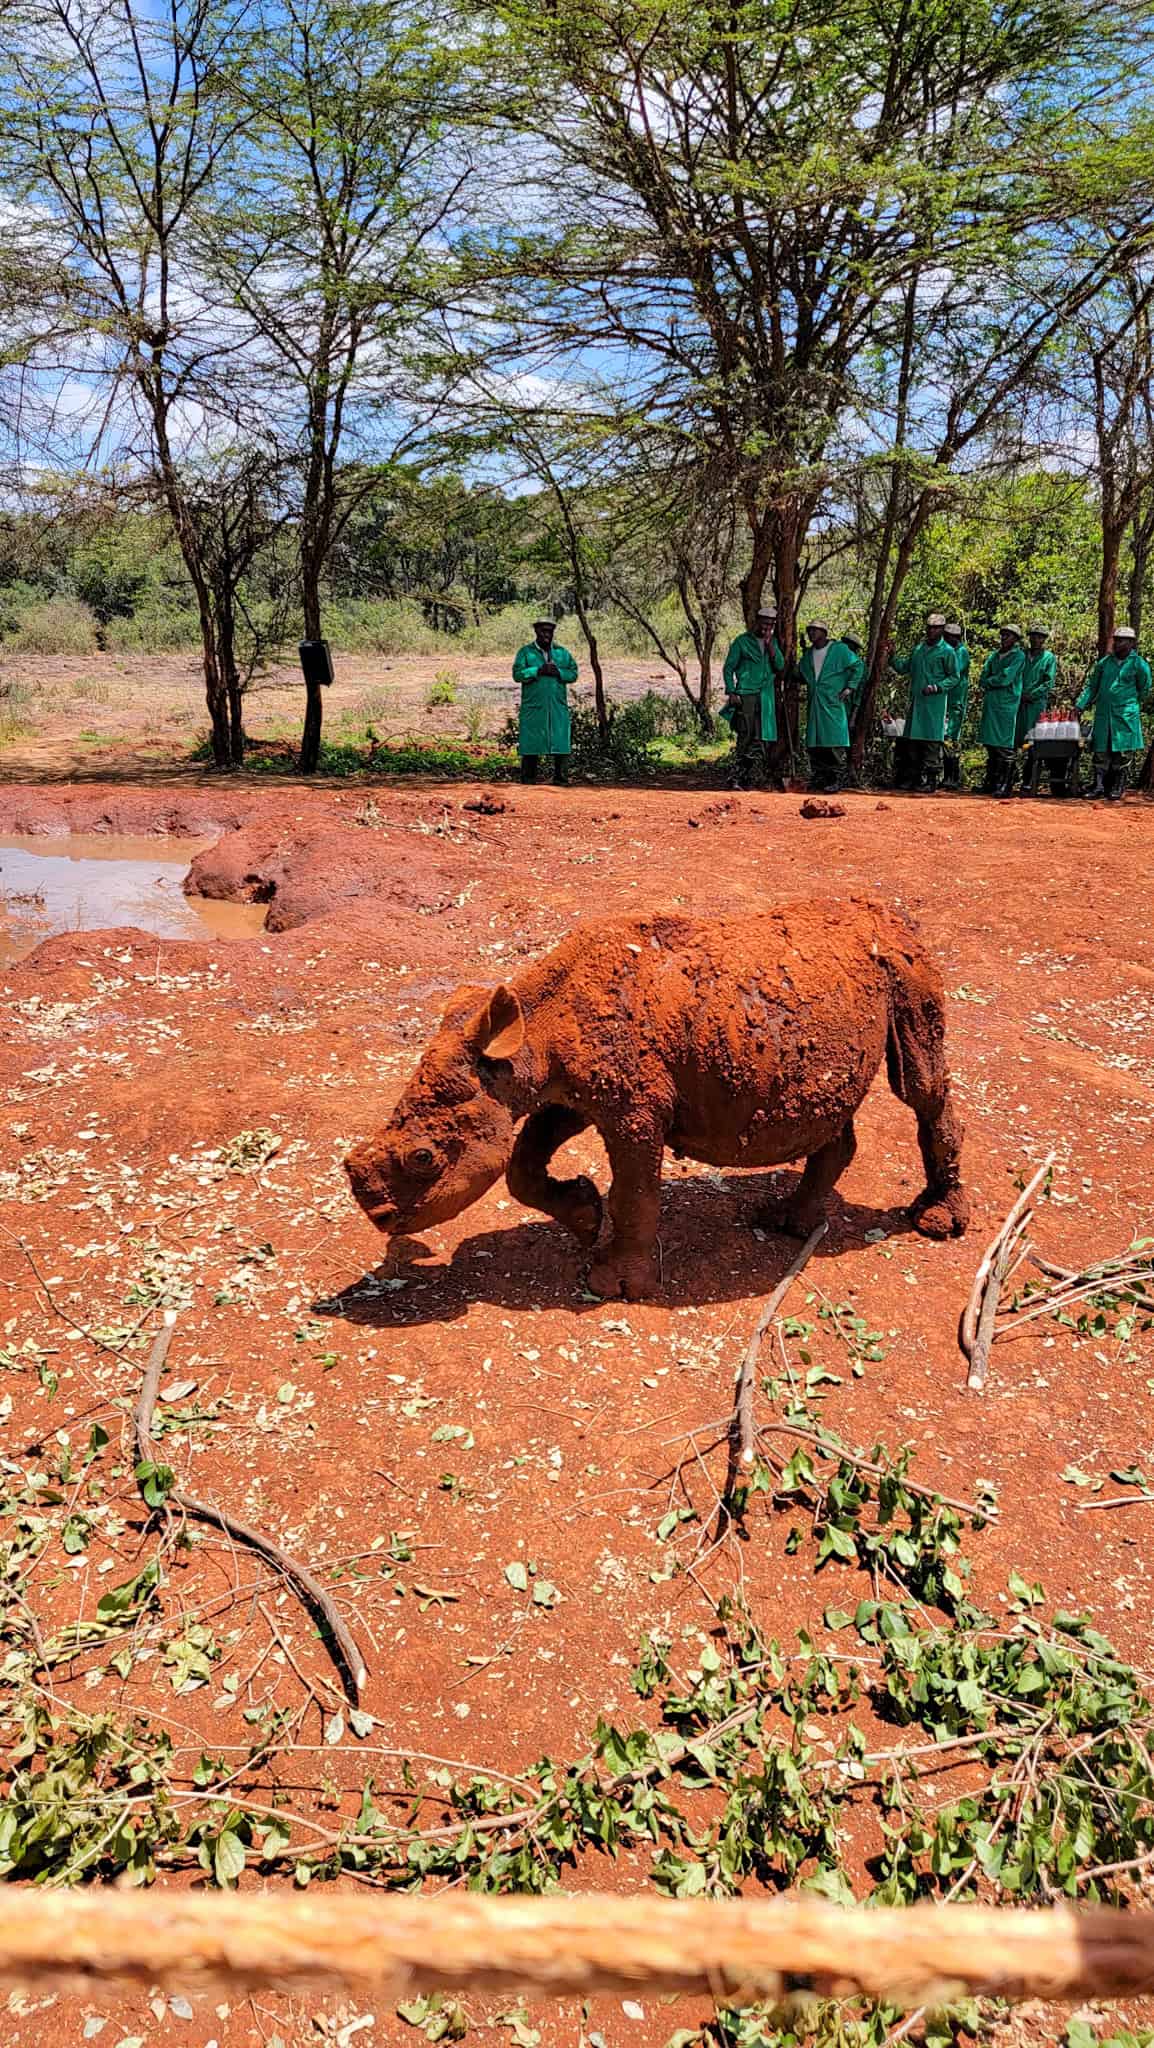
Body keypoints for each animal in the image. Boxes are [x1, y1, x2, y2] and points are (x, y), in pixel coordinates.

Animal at [348, 897, 971, 1294]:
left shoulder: (634, 1108)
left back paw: (937, 1224)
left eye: (424, 1158)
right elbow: (522, 1166)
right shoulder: (570, 1091)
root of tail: (893, 916)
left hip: (909, 973)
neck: (533, 1032)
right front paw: (582, 1215)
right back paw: (788, 1224)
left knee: (920, 1086)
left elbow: (636, 1191)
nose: (380, 1220)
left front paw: (618, 1285)